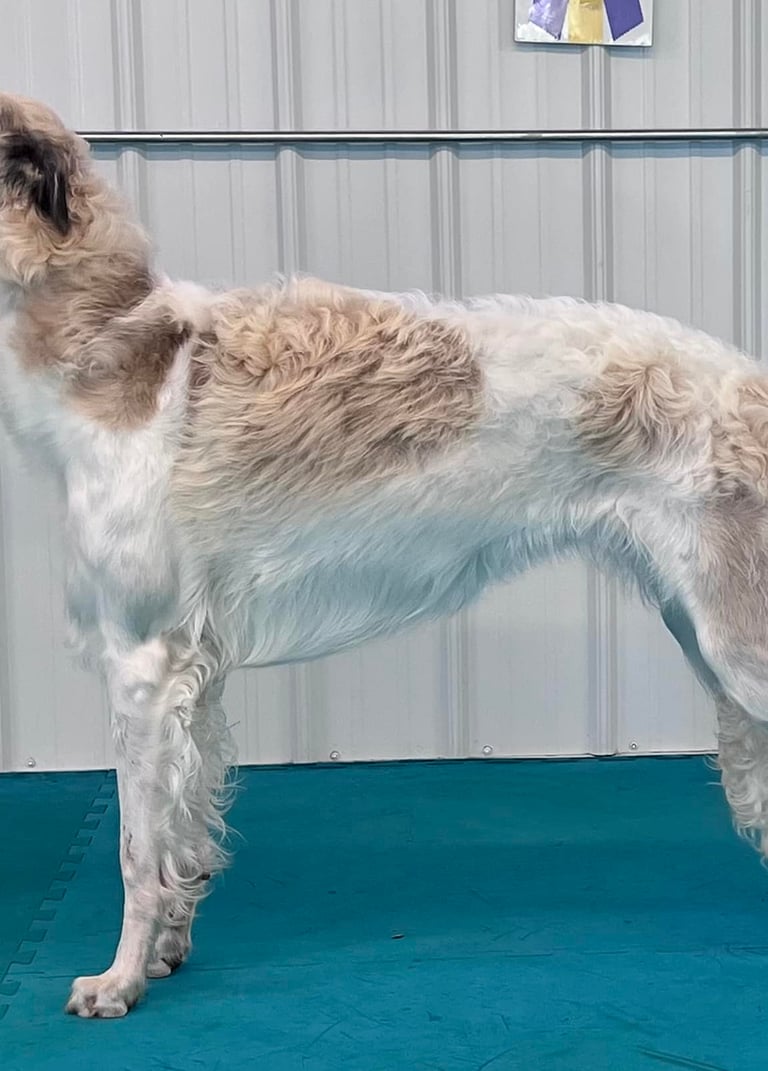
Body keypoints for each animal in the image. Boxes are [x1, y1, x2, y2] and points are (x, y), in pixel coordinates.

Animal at [1, 92, 768, 1018]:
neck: (113, 345)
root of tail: (752, 384)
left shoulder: (142, 660)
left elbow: (132, 853)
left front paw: (115, 981)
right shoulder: (195, 673)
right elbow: (185, 832)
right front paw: (165, 954)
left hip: (736, 641)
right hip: (700, 624)